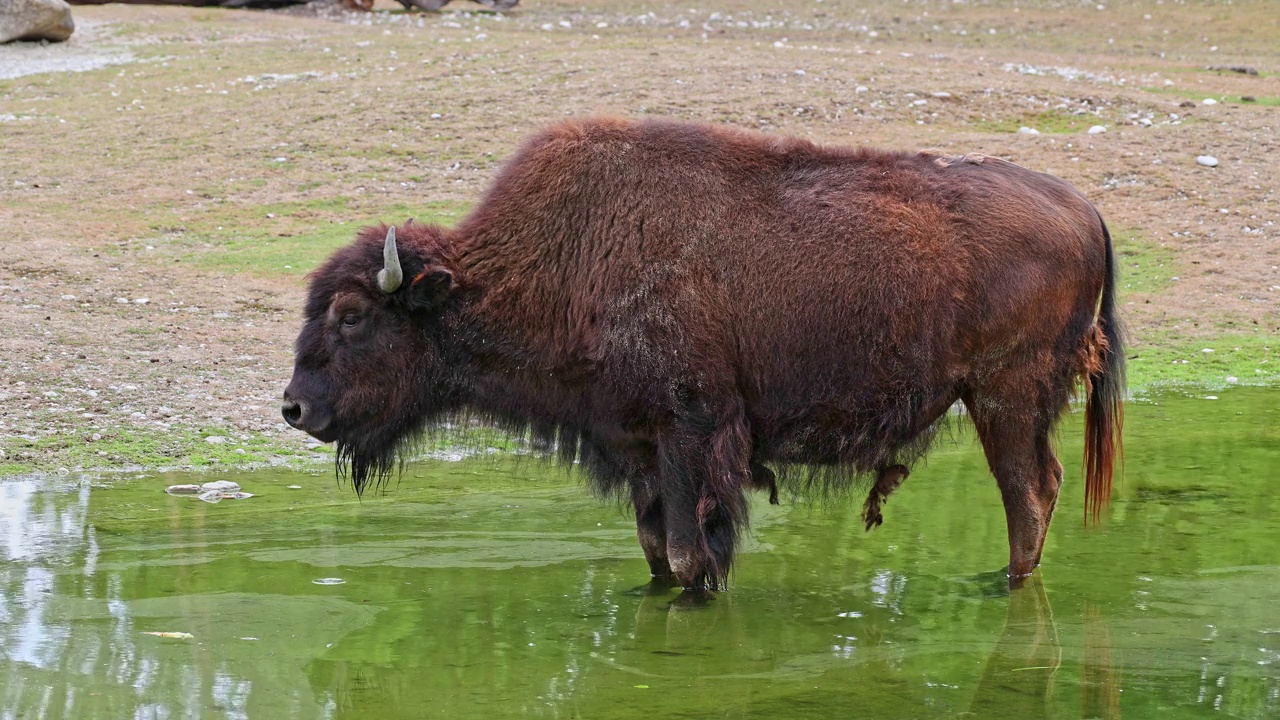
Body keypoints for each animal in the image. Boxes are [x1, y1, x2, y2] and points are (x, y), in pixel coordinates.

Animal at [280, 116, 1121, 589]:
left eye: (352, 316)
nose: (293, 407)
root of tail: (1087, 210)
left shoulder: (692, 435)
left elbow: (689, 552)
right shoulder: (638, 448)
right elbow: (656, 550)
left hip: (1005, 397)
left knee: (1028, 492)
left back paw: (1006, 587)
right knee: (1039, 488)